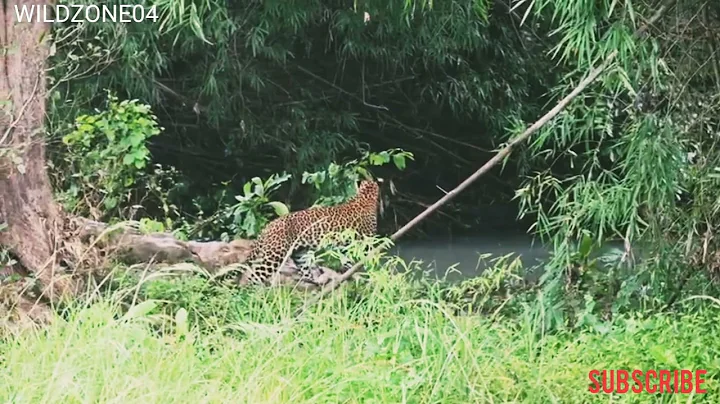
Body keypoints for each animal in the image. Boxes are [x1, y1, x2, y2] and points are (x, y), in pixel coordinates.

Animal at [238, 179, 382, 287]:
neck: (364, 197)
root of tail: (269, 226)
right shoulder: (366, 240)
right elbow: (368, 258)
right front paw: (370, 272)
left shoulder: (344, 245)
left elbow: (348, 260)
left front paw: (356, 272)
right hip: (274, 255)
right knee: (253, 276)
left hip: (299, 253)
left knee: (305, 271)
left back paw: (317, 282)